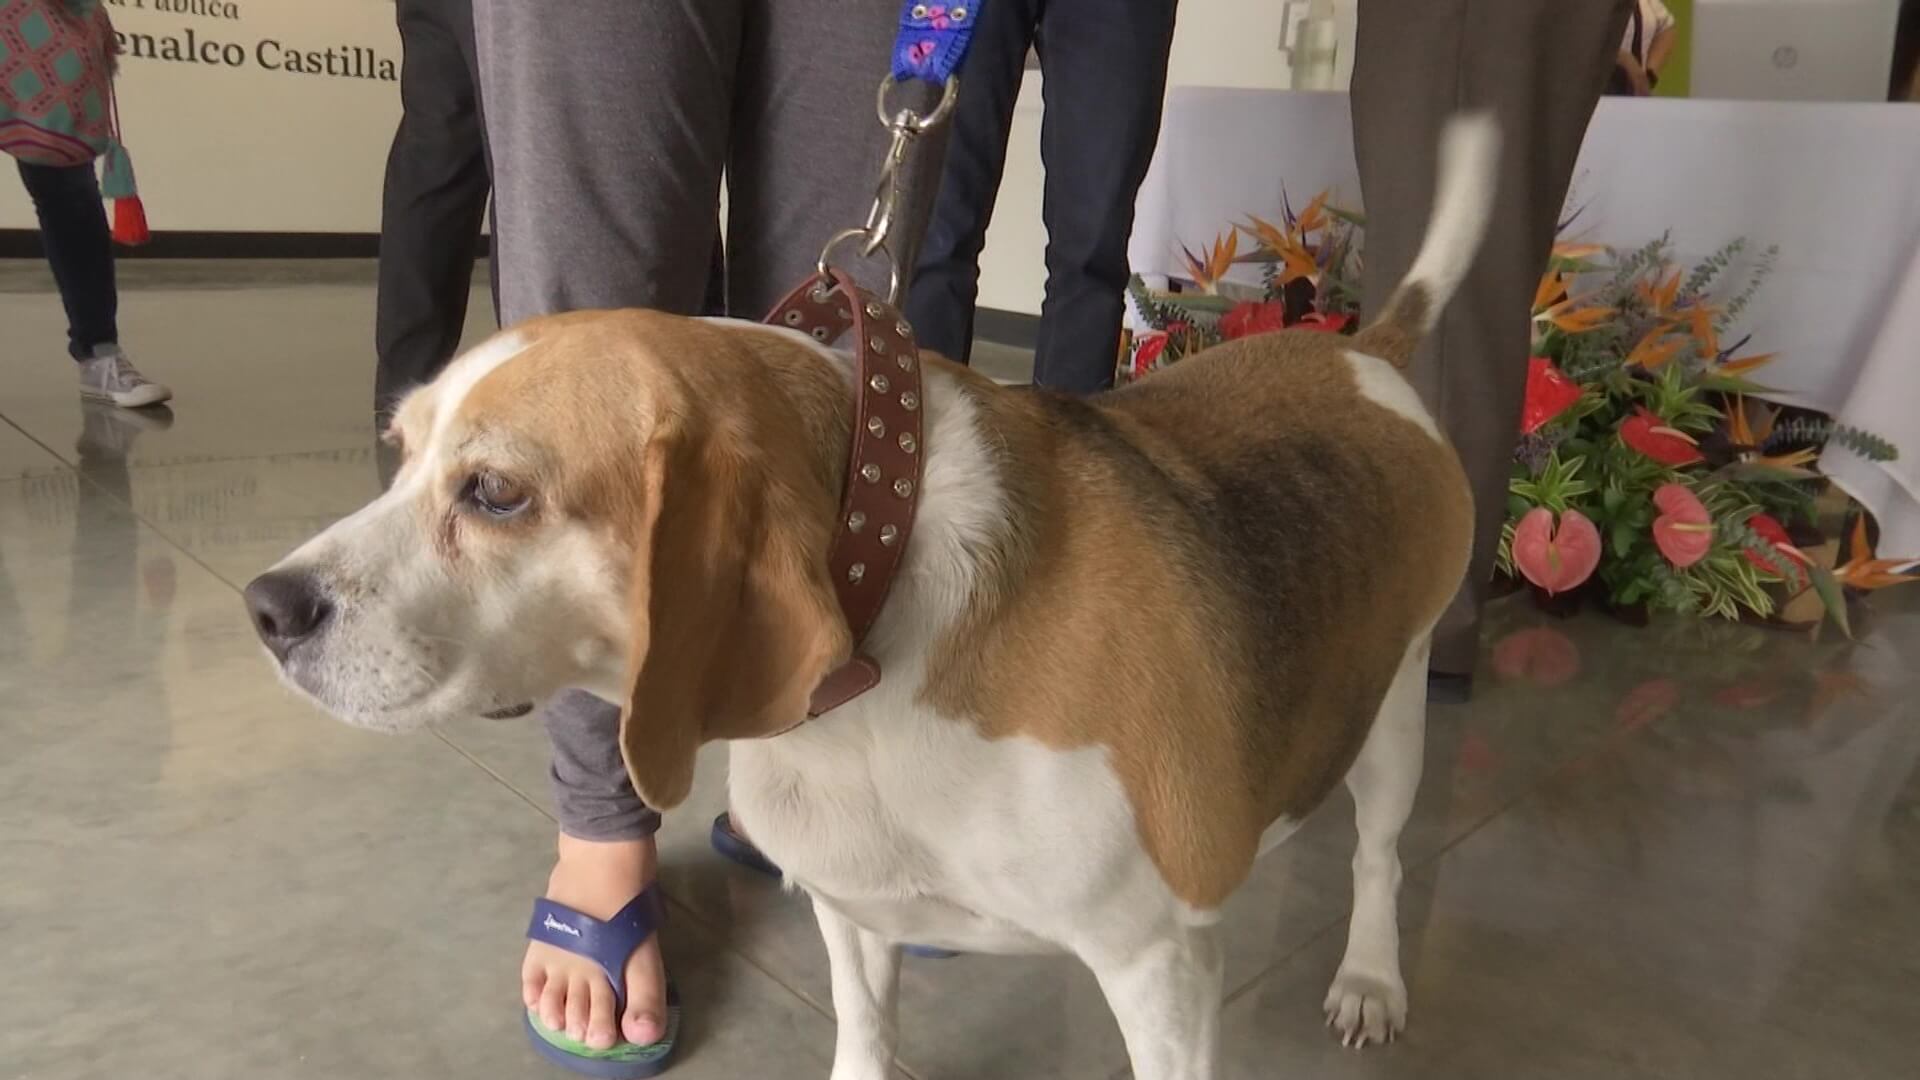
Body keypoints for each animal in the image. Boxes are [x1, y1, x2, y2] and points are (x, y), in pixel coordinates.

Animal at [243, 113, 1497, 1068]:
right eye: (400, 450)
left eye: (496, 492)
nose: (265, 609)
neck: (867, 679)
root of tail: (1360, 348)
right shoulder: (850, 911)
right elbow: (865, 1026)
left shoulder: (1160, 967)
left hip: (1395, 717)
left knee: (1380, 855)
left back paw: (1372, 979)